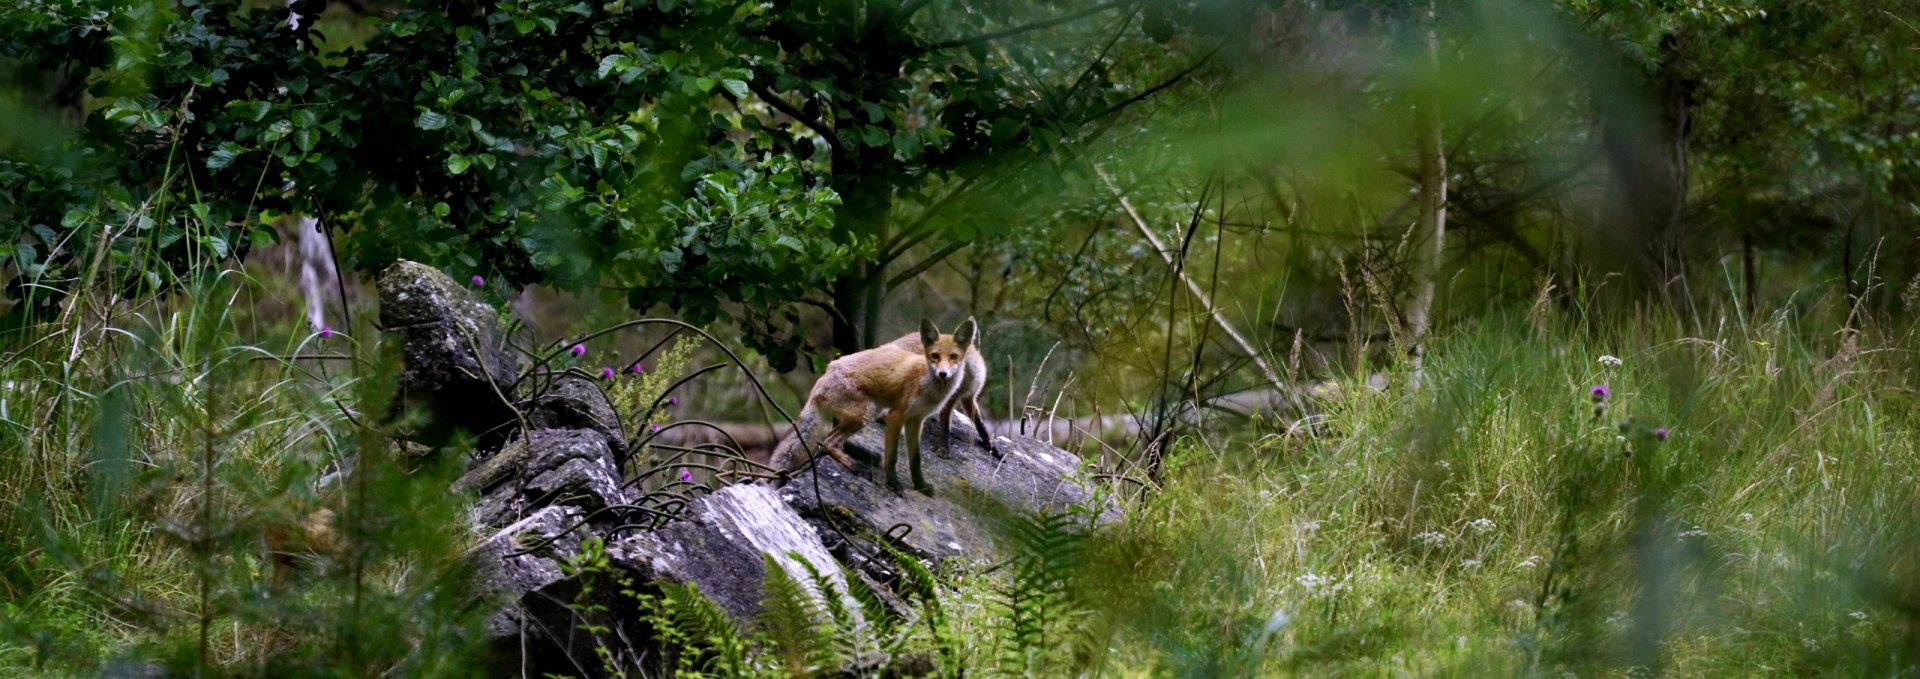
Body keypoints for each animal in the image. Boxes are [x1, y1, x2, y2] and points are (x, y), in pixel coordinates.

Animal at [768, 318, 975, 494]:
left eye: (954, 357)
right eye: (935, 356)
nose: (943, 374)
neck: (928, 387)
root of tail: (821, 379)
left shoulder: (916, 420)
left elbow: (916, 460)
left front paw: (920, 485)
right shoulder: (897, 414)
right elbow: (892, 456)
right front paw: (892, 484)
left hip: (868, 413)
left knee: (826, 441)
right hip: (867, 412)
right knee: (828, 441)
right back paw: (856, 467)